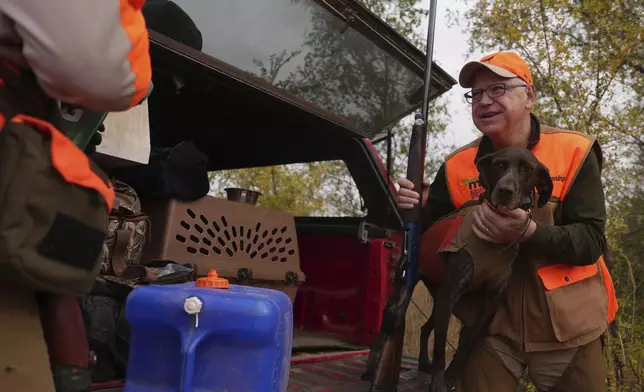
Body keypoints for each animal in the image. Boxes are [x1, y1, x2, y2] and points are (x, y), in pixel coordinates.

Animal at [418, 146, 552, 392]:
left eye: (527, 169)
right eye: (500, 165)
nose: (505, 190)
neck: (493, 242)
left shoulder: (490, 302)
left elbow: (468, 342)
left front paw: (451, 376)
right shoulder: (451, 292)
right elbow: (440, 346)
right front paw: (439, 381)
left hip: (439, 297)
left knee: (425, 328)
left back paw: (424, 364)